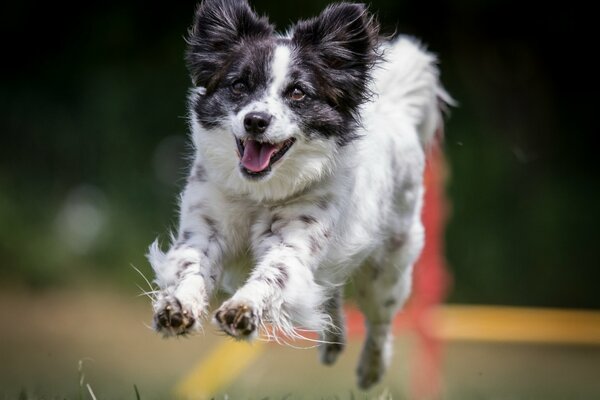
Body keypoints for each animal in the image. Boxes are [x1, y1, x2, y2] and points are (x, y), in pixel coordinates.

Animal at [148, 0, 452, 388]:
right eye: (239, 85)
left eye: (297, 93)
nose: (255, 120)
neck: (259, 192)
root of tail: (396, 108)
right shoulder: (205, 228)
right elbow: (191, 266)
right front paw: (177, 307)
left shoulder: (293, 243)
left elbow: (274, 274)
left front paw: (243, 310)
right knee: (329, 292)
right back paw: (334, 342)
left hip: (388, 267)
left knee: (380, 318)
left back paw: (371, 369)